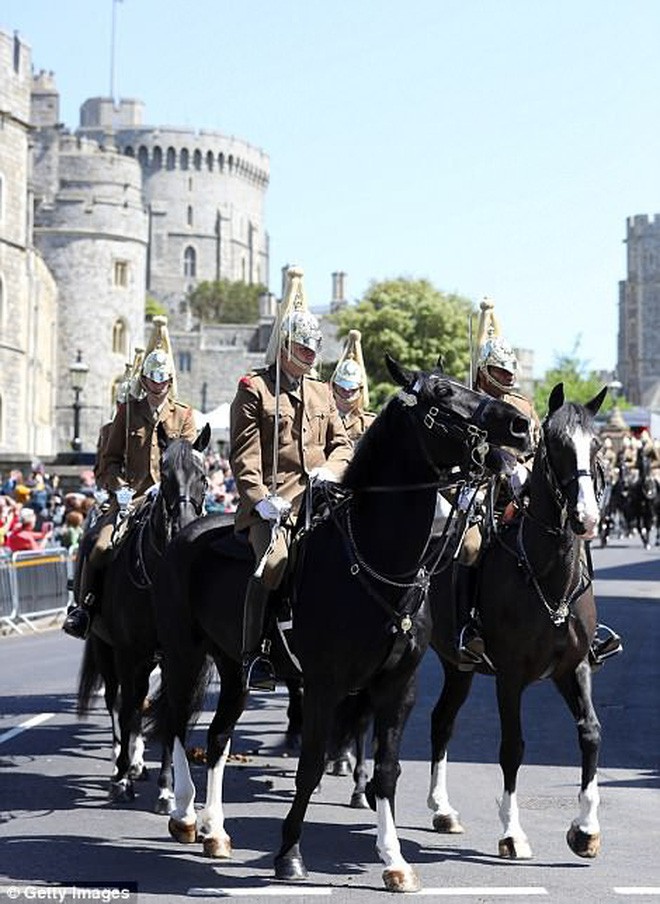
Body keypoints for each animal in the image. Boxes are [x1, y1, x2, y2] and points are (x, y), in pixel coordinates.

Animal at [75, 424, 210, 804]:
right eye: (164, 475)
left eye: (204, 476)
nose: (184, 528)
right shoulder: (126, 651)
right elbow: (128, 708)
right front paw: (122, 779)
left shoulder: (177, 655)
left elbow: (170, 713)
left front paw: (167, 789)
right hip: (105, 649)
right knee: (117, 700)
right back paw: (121, 764)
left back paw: (137, 762)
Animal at [150, 354, 532, 888]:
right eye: (441, 394)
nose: (518, 425)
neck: (379, 560)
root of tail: (186, 533)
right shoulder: (324, 684)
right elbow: (310, 765)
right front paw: (289, 853)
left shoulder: (398, 686)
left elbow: (388, 770)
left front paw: (394, 860)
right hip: (185, 655)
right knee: (178, 726)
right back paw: (184, 814)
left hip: (233, 668)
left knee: (218, 736)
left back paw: (216, 830)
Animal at [428, 384, 608, 860]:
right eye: (556, 445)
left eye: (597, 446)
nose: (586, 518)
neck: (549, 578)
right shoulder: (509, 677)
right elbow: (513, 746)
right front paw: (512, 832)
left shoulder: (573, 668)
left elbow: (591, 732)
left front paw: (586, 829)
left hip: (458, 666)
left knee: (441, 721)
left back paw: (442, 810)